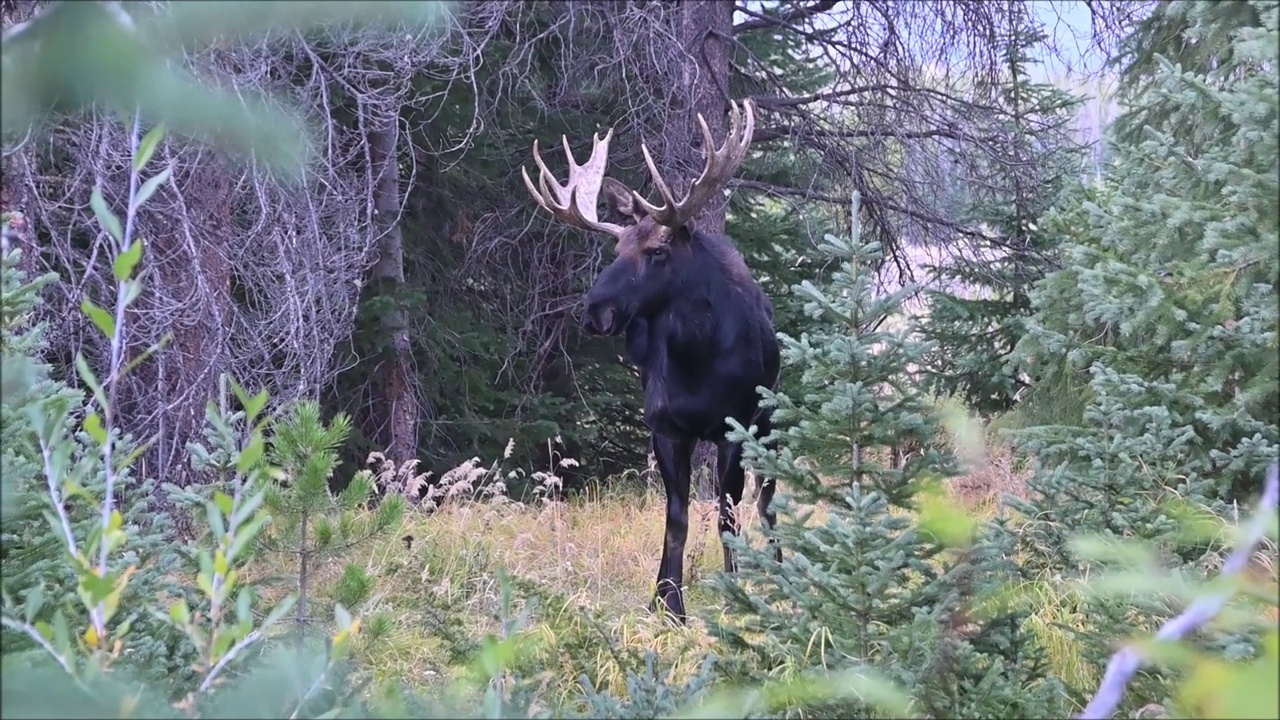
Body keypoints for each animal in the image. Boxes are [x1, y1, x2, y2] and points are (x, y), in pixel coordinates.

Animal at [519, 98, 778, 620]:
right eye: (616, 245)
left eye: (658, 249)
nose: (594, 311)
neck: (698, 360)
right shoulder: (665, 426)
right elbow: (676, 516)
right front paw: (667, 602)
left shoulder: (735, 425)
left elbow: (727, 512)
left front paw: (733, 590)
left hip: (773, 422)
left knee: (767, 501)